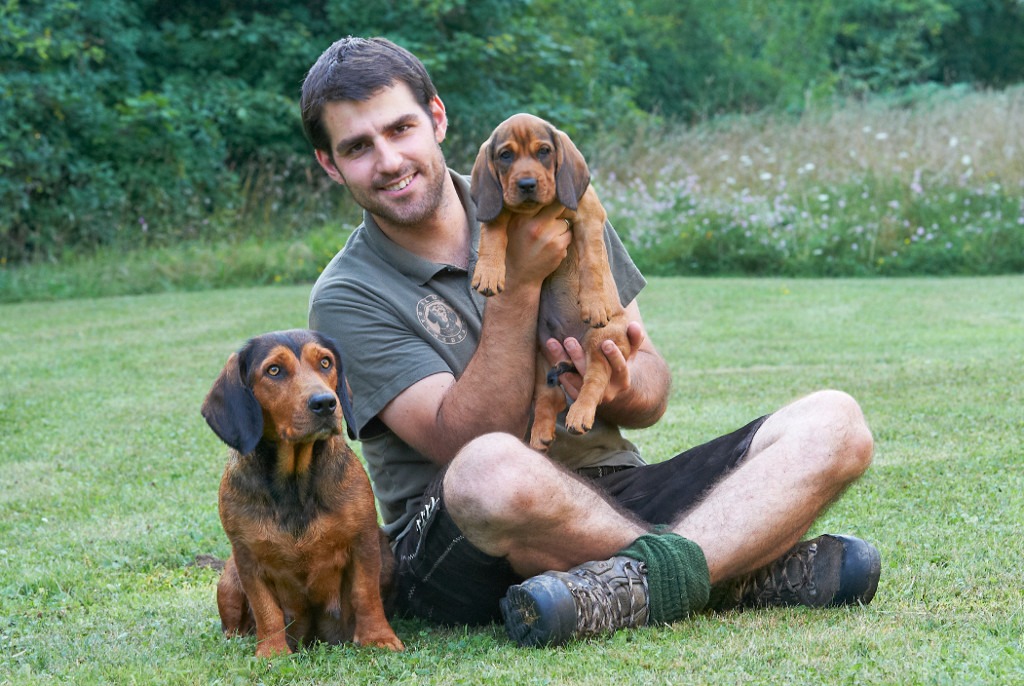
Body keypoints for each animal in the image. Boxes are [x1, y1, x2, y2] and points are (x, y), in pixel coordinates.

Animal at [200, 329, 403, 659]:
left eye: (325, 362)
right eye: (274, 370)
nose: (326, 403)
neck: (295, 480)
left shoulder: (364, 542)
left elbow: (365, 594)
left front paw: (378, 638)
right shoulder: (247, 559)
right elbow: (265, 609)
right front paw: (271, 652)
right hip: (229, 578)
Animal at [471, 112, 630, 450]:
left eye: (544, 151)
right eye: (505, 155)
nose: (527, 184)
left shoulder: (589, 216)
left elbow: (592, 262)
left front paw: (594, 303)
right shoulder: (500, 210)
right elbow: (492, 233)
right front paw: (488, 271)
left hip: (602, 340)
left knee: (595, 380)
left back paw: (580, 414)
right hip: (540, 355)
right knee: (549, 398)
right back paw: (540, 434)